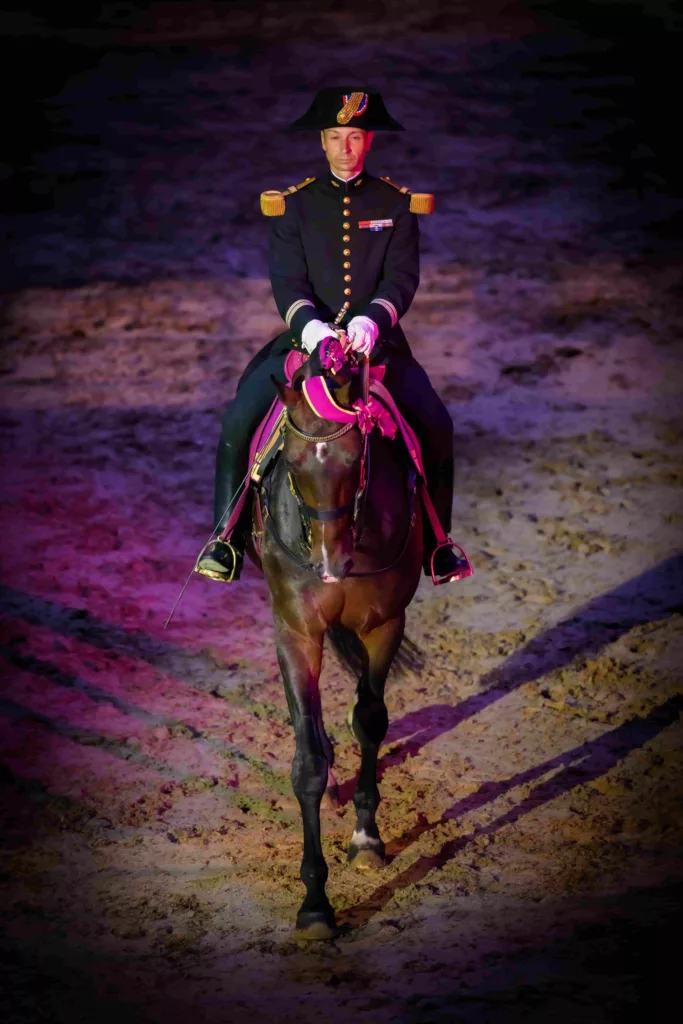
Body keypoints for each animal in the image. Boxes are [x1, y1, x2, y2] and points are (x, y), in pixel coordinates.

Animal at [249, 348, 421, 937]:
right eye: (294, 464)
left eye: (353, 460)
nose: (330, 565)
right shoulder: (295, 631)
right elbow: (306, 765)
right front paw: (315, 903)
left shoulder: (385, 623)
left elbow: (369, 720)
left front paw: (366, 837)